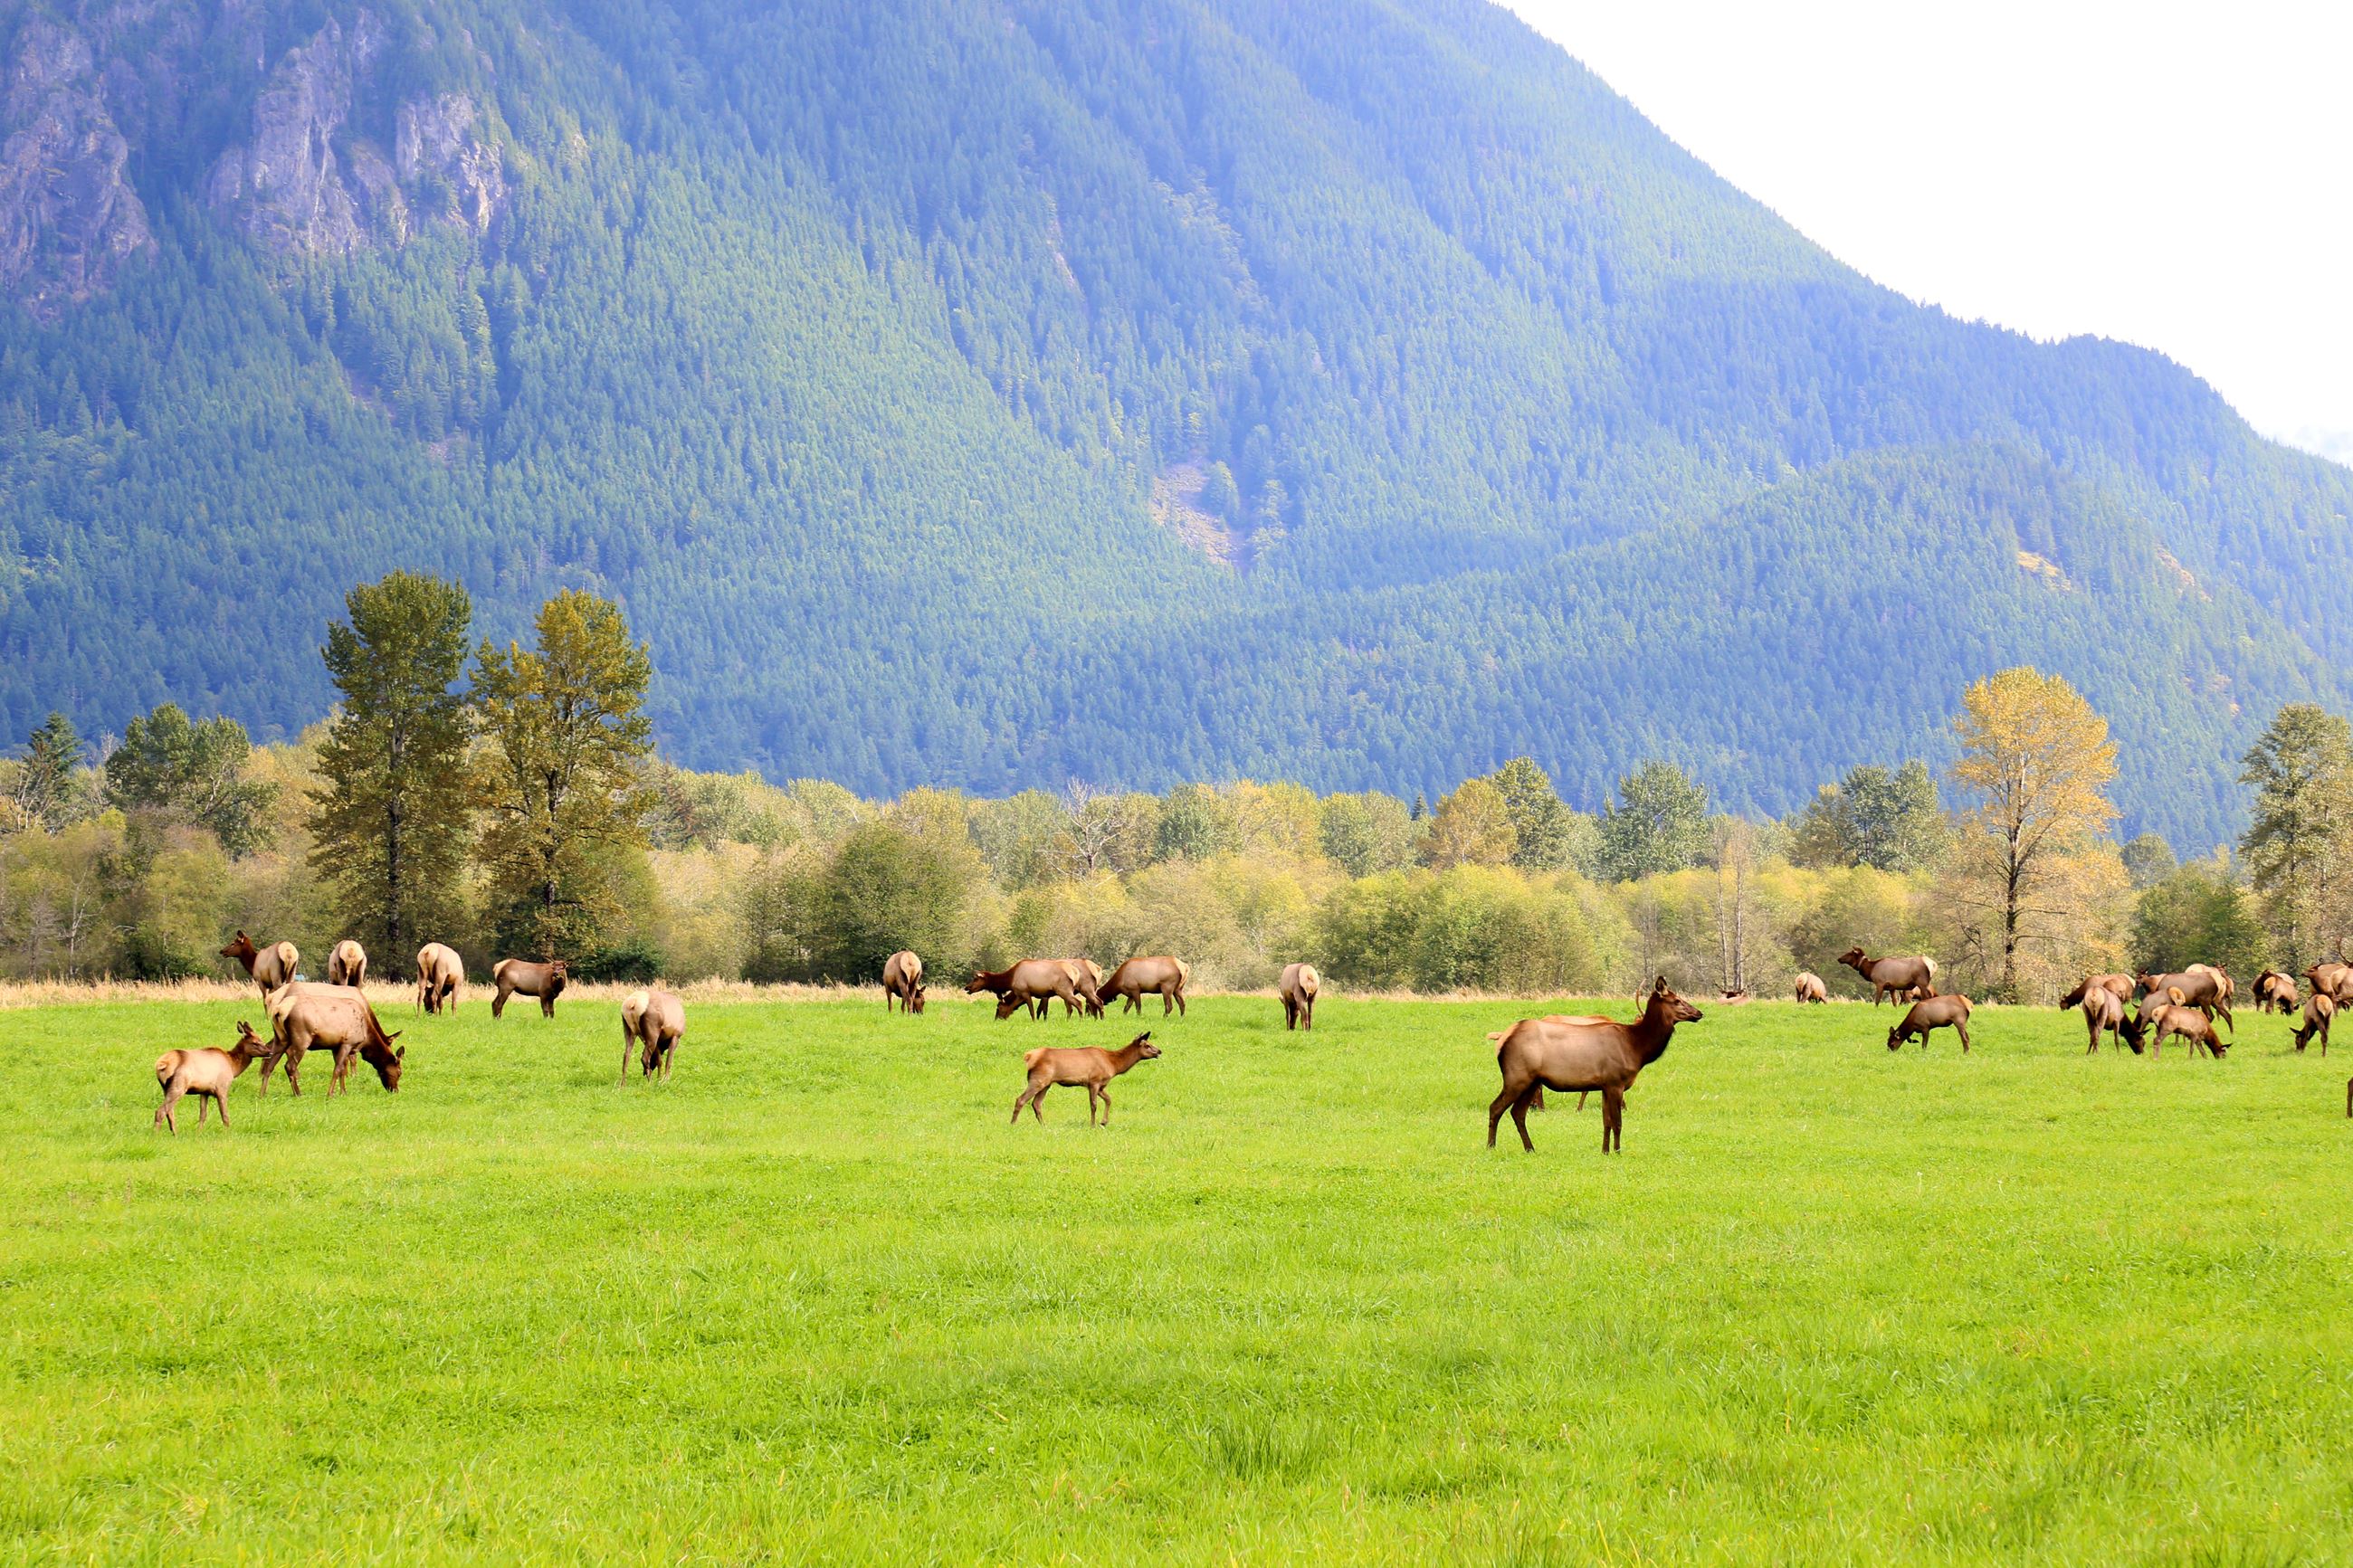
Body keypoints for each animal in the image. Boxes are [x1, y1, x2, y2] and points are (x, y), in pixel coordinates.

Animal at [1011, 1032, 1161, 1125]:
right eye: (1147, 1045)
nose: (1160, 1051)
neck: (1113, 1065)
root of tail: (1029, 1057)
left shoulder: (1101, 1086)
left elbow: (1109, 1099)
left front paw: (1104, 1122)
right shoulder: (1094, 1081)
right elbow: (1093, 1105)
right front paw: (1093, 1124)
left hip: (1046, 1083)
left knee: (1036, 1104)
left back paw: (1044, 1125)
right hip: (1038, 1080)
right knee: (1021, 1099)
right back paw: (1013, 1124)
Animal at [1488, 978, 1703, 1155]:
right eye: (1677, 1000)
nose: (1699, 1013)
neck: (1637, 1048)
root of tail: (1503, 1039)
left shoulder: (1605, 1085)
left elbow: (1606, 1122)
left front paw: (1605, 1151)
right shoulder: (1616, 1082)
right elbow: (1618, 1122)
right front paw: (1618, 1151)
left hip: (1532, 1082)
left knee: (1517, 1113)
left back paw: (1530, 1148)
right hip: (1516, 1077)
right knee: (1496, 1107)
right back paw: (1491, 1146)